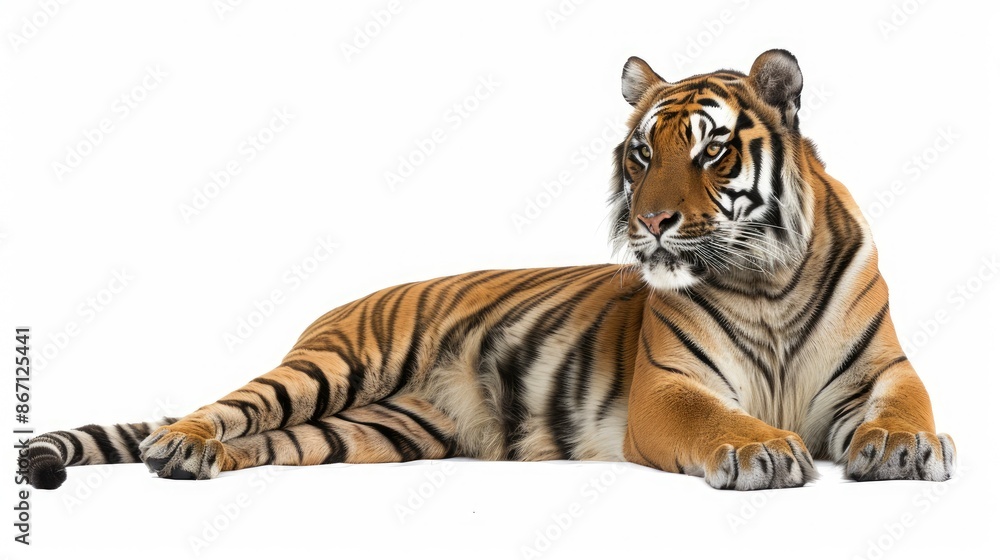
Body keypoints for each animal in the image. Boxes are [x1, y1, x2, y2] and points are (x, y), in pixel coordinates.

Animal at [27, 49, 955, 491]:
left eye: (710, 150)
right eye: (642, 153)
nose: (652, 220)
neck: (767, 282)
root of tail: (335, 309)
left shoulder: (881, 369)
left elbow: (907, 404)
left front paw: (903, 448)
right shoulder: (668, 389)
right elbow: (716, 420)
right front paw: (762, 450)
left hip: (368, 432)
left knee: (269, 441)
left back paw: (199, 462)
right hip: (327, 370)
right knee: (232, 405)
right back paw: (180, 443)